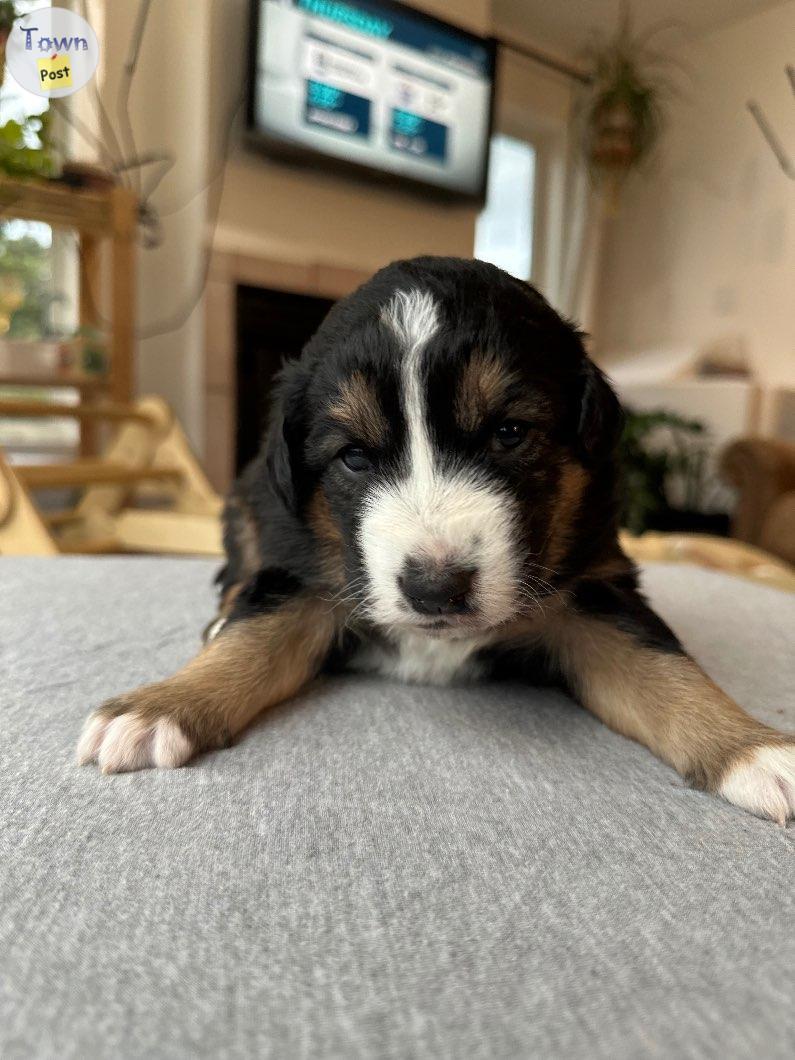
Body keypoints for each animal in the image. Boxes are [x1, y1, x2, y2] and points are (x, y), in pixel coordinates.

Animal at [76, 260, 795, 822]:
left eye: (508, 433)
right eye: (354, 457)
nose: (435, 587)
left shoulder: (591, 588)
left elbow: (663, 667)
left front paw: (752, 748)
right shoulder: (306, 575)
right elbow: (253, 637)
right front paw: (157, 708)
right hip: (249, 502)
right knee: (237, 580)